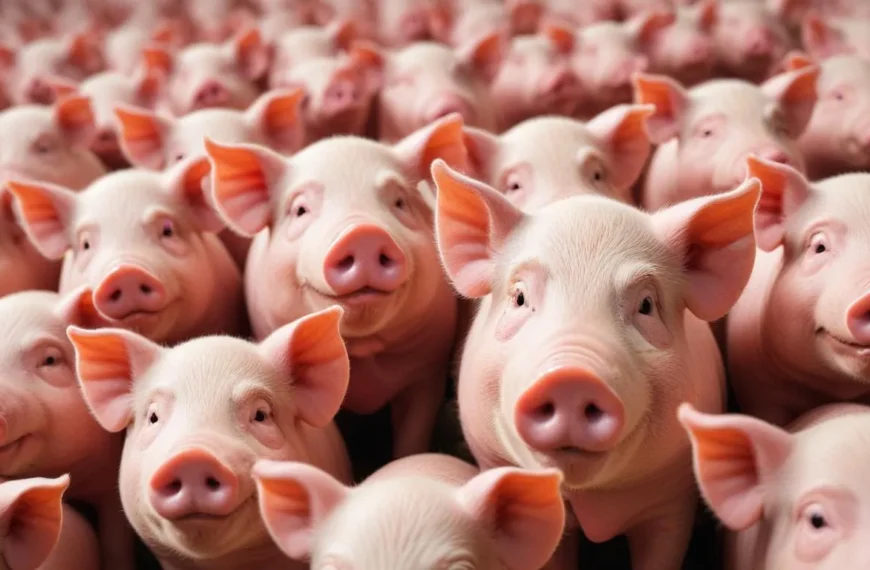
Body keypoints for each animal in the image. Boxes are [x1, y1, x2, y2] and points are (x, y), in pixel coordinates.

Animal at [204, 114, 468, 459]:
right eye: (300, 210)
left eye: (399, 202)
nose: (363, 233)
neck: (364, 355)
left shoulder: (427, 371)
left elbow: (413, 435)